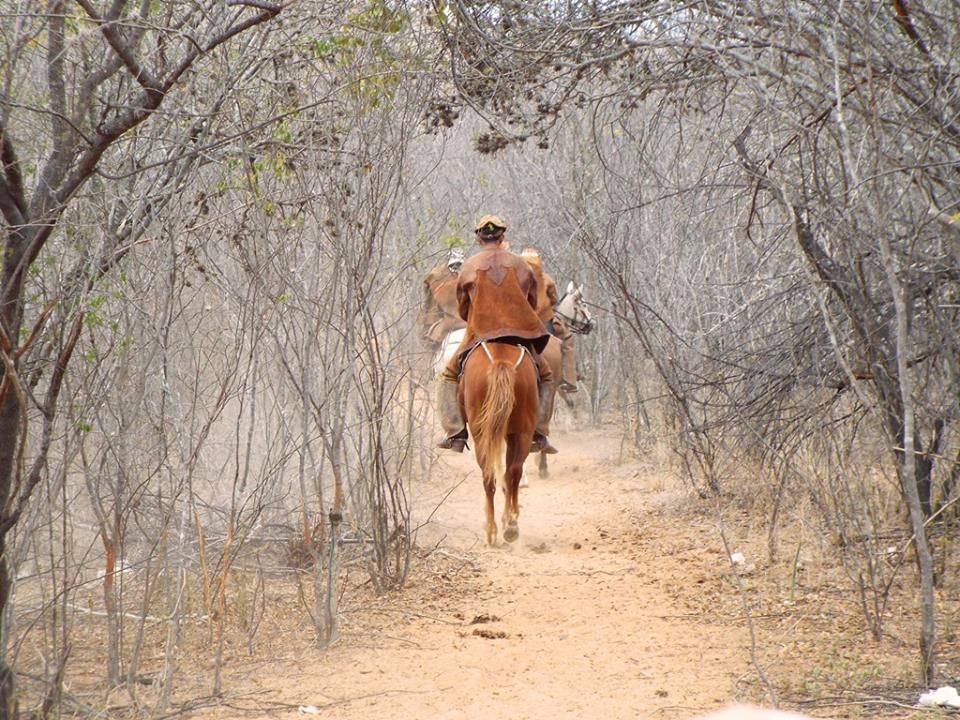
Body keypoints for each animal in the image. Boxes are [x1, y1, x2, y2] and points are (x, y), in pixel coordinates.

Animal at [460, 340, 536, 544]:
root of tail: (501, 362)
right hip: (522, 433)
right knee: (511, 471)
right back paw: (508, 525)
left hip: (484, 434)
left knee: (494, 473)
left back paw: (495, 527)